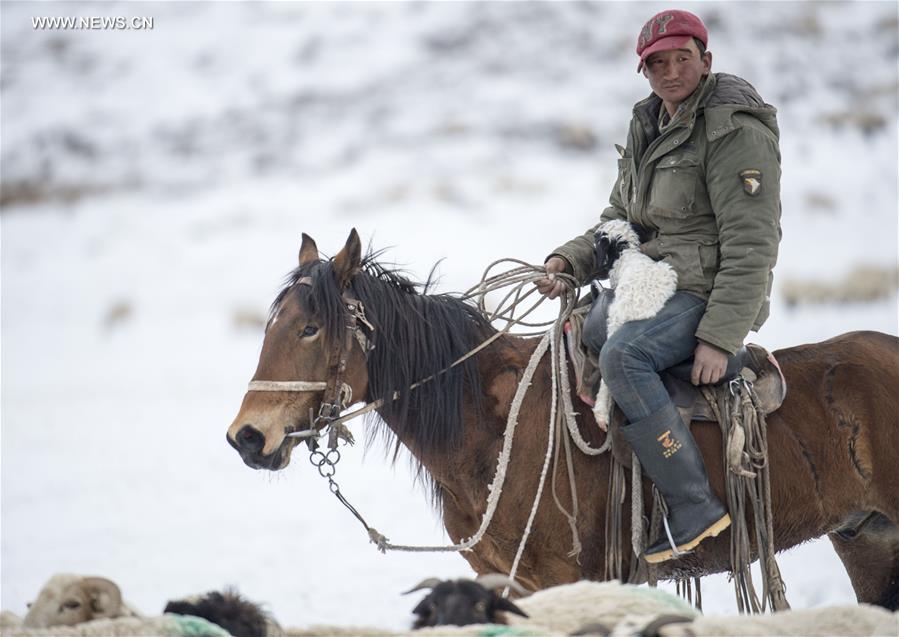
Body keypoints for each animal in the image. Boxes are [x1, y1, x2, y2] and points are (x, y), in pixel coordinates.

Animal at [227, 231, 899, 608]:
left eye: (312, 327)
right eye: (273, 324)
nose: (247, 438)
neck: (490, 428)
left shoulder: (564, 578)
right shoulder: (506, 581)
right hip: (867, 539)